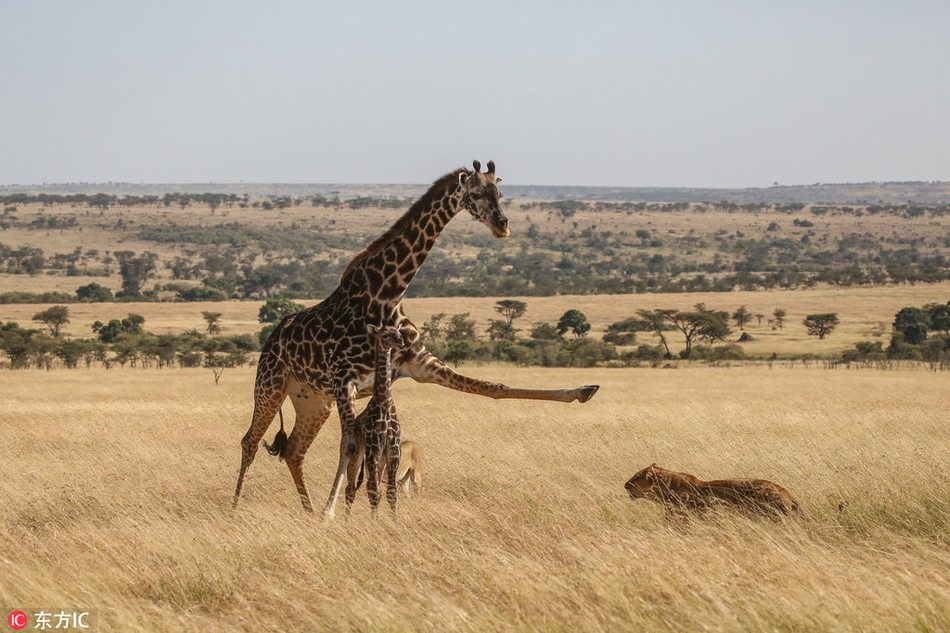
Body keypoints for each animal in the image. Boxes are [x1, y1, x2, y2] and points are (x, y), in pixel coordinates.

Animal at [348, 324, 408, 516]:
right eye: (385, 334)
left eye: (398, 331)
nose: (400, 340)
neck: (385, 404)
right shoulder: (374, 449)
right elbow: (373, 491)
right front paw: (374, 521)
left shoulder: (393, 451)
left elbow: (391, 492)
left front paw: (394, 520)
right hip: (359, 454)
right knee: (351, 488)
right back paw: (345, 519)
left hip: (380, 459)